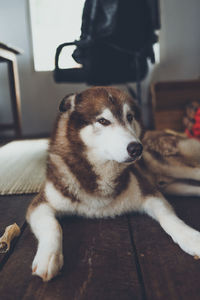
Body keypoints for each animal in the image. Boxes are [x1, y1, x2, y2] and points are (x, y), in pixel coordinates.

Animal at [26, 86, 200, 282]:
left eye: (129, 117)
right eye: (103, 121)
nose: (136, 148)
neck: (102, 172)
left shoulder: (150, 193)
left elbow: (169, 218)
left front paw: (192, 238)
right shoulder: (40, 204)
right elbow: (53, 225)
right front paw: (48, 257)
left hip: (169, 166)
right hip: (175, 186)